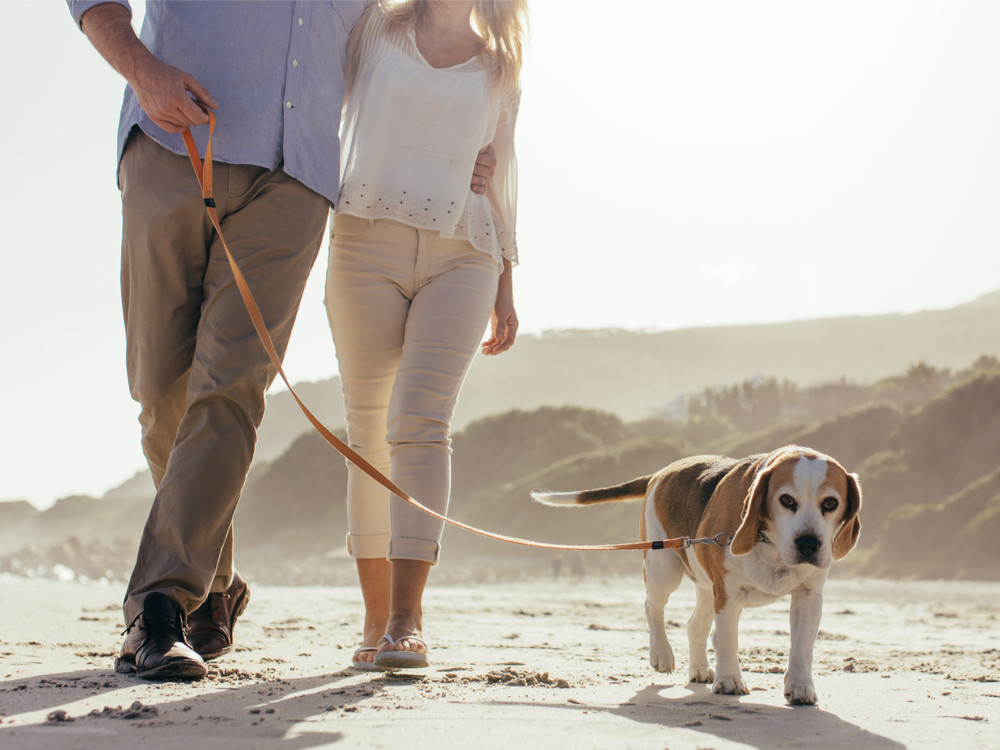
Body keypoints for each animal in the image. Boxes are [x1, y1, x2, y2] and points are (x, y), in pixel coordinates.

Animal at [536, 446, 864, 704]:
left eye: (830, 503)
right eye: (786, 500)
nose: (809, 544)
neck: (769, 542)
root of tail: (661, 472)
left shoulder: (809, 596)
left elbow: (801, 647)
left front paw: (800, 686)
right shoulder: (728, 594)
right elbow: (727, 639)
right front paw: (729, 680)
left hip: (706, 588)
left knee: (695, 625)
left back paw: (699, 669)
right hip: (663, 567)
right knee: (652, 606)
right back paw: (662, 654)